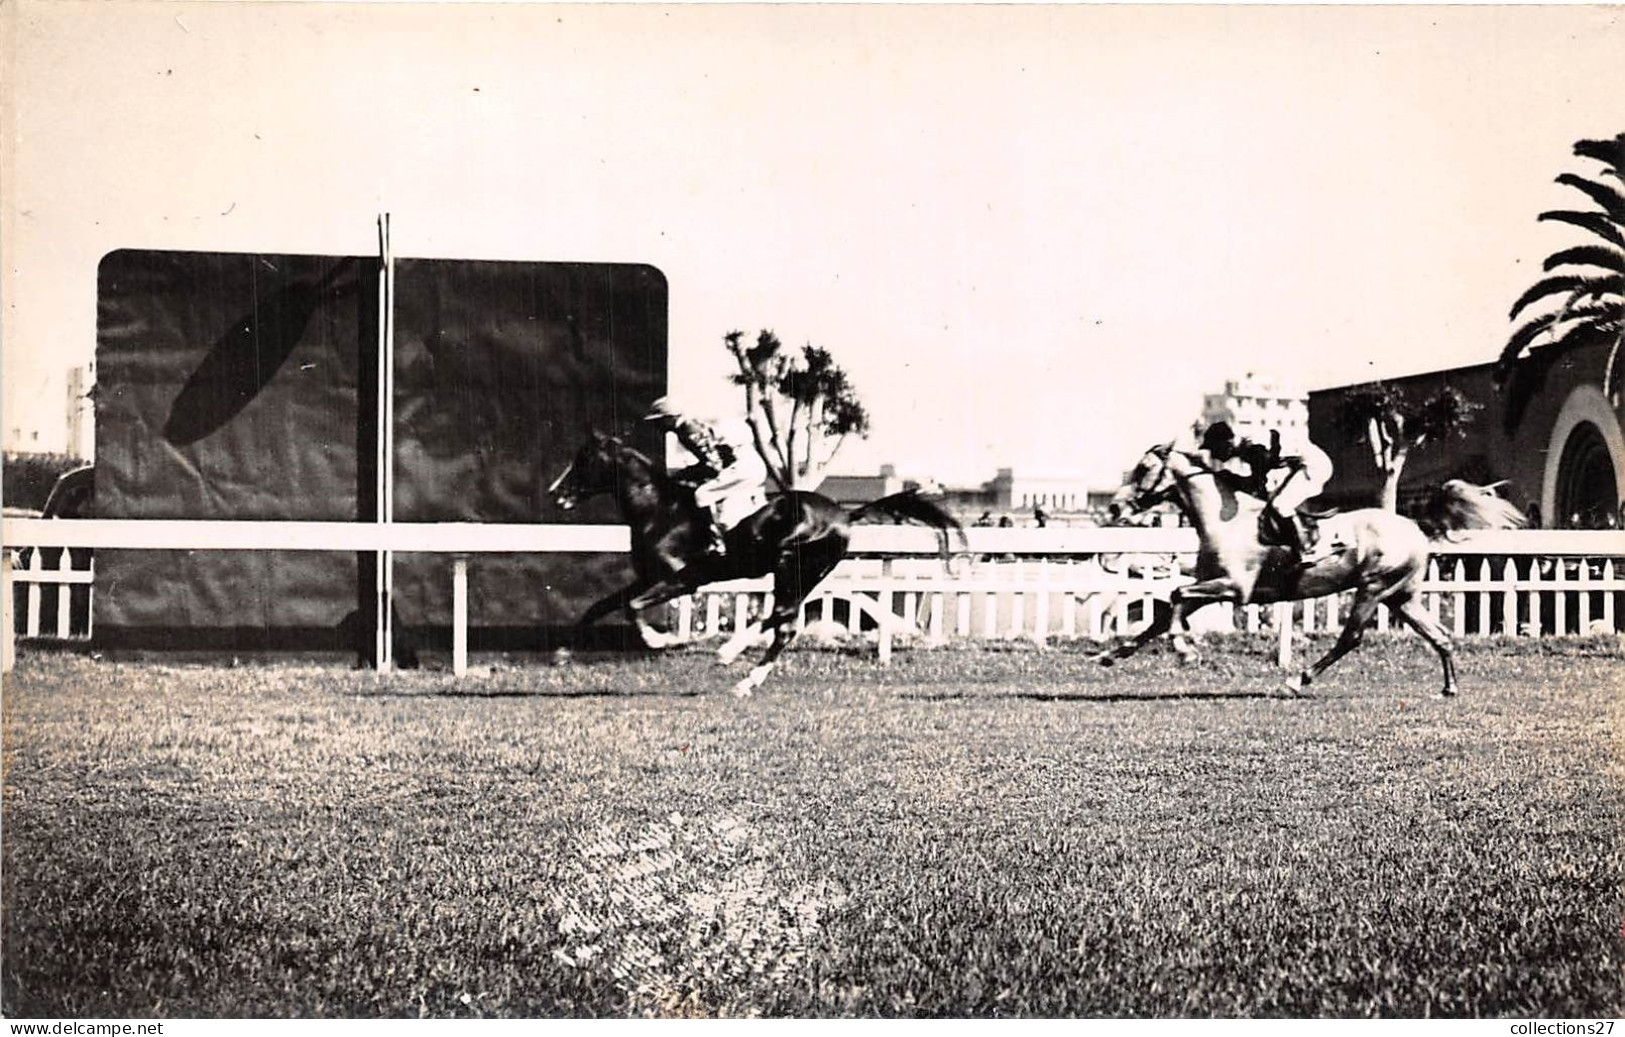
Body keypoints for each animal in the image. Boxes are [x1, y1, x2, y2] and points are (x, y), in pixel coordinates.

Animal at [546, 429, 962, 698]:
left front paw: (661, 639)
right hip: (801, 574)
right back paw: (735, 662)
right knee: (783, 618)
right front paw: (561, 653)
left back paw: (736, 667)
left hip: (791, 565)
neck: (659, 510)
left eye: (584, 461)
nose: (556, 494)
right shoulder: (649, 576)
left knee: (785, 621)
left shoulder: (683, 578)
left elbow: (633, 608)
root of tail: (846, 514)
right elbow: (600, 606)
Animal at [1105, 448, 1521, 698]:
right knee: (1440, 635)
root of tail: (1415, 523)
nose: (1113, 508)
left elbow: (1174, 599)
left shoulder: (1234, 589)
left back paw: (1298, 679)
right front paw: (1114, 653)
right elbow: (1164, 612)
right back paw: (1449, 688)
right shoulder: (1209, 585)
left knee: (1351, 638)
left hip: (1372, 588)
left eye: (1143, 469)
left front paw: (1183, 650)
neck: (1226, 521)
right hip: (1401, 597)